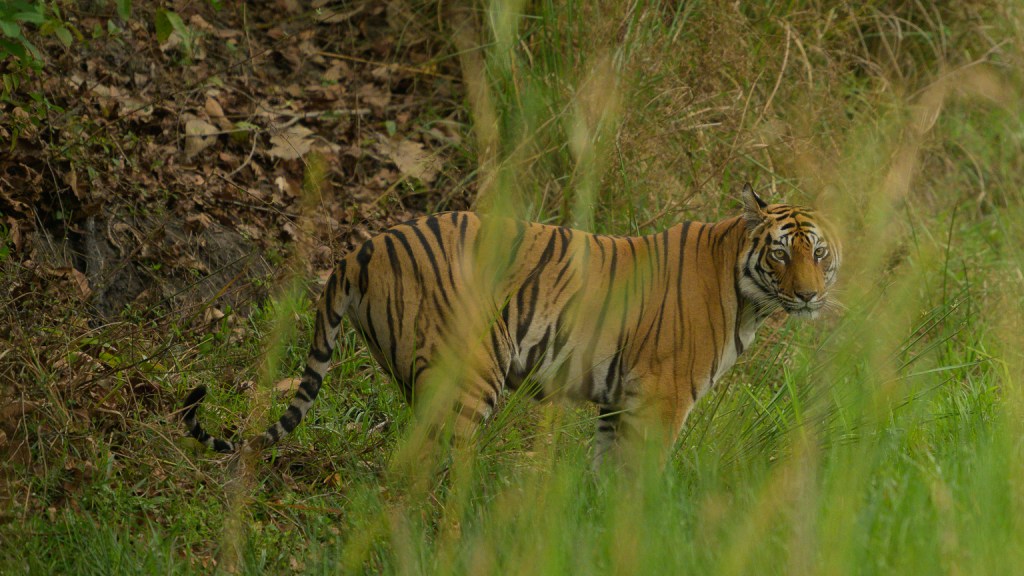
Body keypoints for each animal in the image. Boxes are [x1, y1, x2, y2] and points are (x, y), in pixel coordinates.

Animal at [182, 183, 840, 466]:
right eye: (781, 253)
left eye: (819, 253)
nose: (809, 295)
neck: (747, 295)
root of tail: (361, 249)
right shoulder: (659, 401)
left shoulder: (618, 404)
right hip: (468, 377)